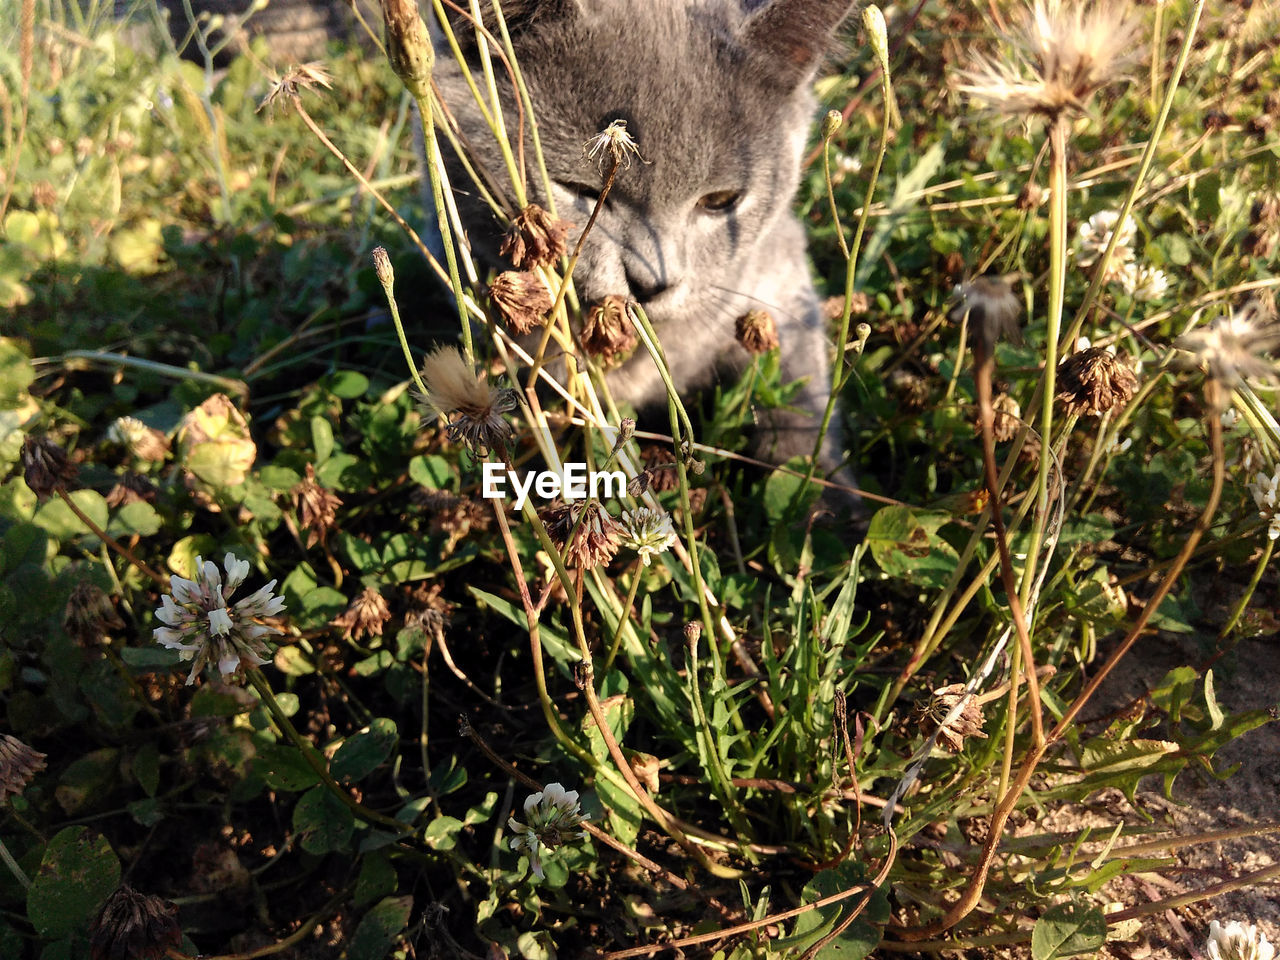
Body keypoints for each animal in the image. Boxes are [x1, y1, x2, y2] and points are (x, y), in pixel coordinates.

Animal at [430, 1, 860, 504]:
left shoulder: (783, 282)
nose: (652, 283)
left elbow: (798, 403)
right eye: (580, 190)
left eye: (721, 201)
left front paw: (825, 504)